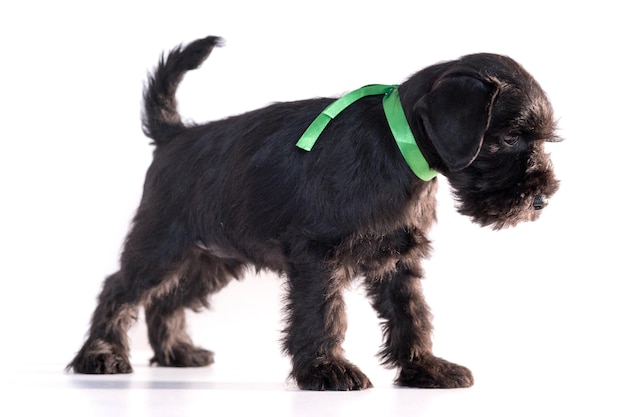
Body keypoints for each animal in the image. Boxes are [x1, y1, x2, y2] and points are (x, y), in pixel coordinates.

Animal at [66, 35, 560, 390]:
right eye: (509, 138)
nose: (541, 200)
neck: (397, 148)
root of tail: (174, 135)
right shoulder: (319, 257)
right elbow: (323, 313)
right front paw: (327, 370)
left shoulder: (399, 260)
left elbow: (412, 315)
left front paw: (426, 368)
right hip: (162, 244)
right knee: (121, 289)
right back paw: (101, 356)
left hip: (212, 259)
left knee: (166, 300)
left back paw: (176, 353)